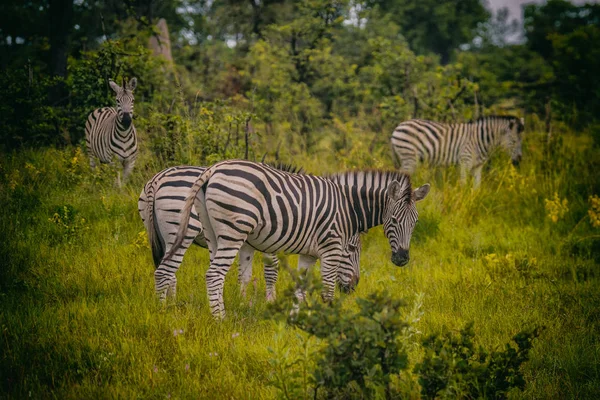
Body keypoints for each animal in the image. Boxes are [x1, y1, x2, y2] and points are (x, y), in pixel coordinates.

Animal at [139, 164, 364, 302]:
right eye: (352, 249)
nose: (354, 287)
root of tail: (156, 180)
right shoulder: (273, 239)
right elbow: (271, 271)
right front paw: (269, 300)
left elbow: (247, 274)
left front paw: (245, 300)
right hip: (181, 232)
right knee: (168, 271)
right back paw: (169, 307)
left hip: (162, 234)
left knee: (167, 271)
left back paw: (171, 303)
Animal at [166, 159, 428, 318]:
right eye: (393, 221)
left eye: (415, 222)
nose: (402, 259)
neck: (347, 205)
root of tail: (214, 169)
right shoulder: (331, 249)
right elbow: (327, 291)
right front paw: (330, 324)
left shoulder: (309, 254)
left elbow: (301, 289)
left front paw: (298, 321)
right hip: (233, 233)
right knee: (214, 275)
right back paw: (220, 319)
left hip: (213, 234)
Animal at [390, 114, 524, 186]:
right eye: (513, 141)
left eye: (521, 141)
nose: (519, 160)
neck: (480, 139)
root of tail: (398, 126)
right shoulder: (465, 162)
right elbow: (463, 183)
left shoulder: (478, 166)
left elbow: (477, 186)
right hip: (409, 158)